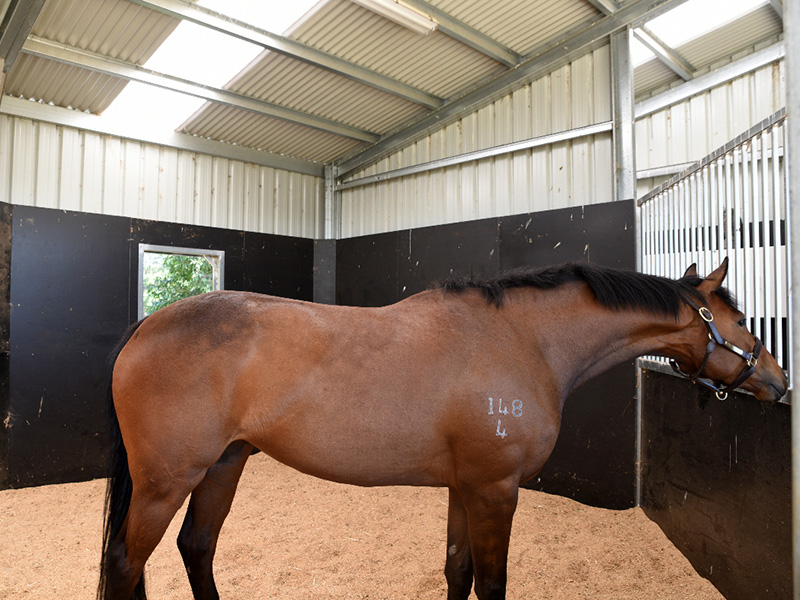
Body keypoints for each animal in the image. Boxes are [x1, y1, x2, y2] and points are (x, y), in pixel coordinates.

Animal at [97, 258, 784, 600]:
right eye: (740, 316)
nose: (779, 382)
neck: (523, 340)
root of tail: (148, 325)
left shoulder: (466, 488)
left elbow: (457, 573)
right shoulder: (496, 490)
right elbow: (492, 583)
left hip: (224, 463)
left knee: (195, 549)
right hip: (166, 481)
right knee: (127, 563)